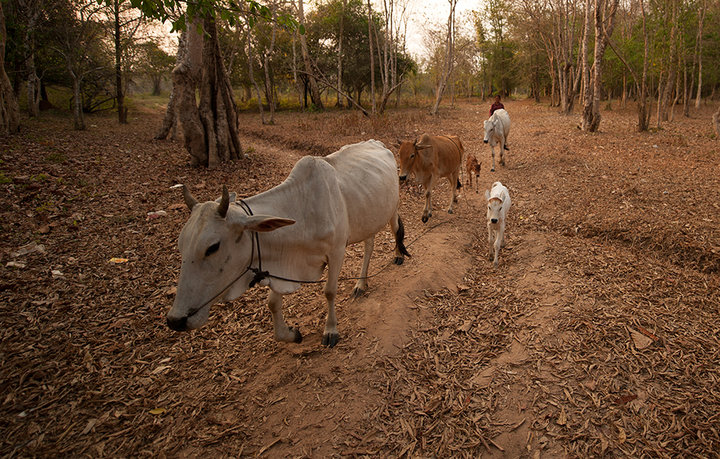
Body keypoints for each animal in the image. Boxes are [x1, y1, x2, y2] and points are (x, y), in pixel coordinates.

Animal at [165, 140, 408, 348]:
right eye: (181, 245)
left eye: (213, 247)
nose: (175, 320)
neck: (302, 210)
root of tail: (379, 144)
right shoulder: (279, 266)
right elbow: (273, 303)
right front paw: (291, 334)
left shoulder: (337, 252)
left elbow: (329, 291)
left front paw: (330, 330)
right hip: (368, 217)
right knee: (369, 244)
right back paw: (361, 283)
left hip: (391, 208)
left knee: (395, 228)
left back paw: (397, 255)